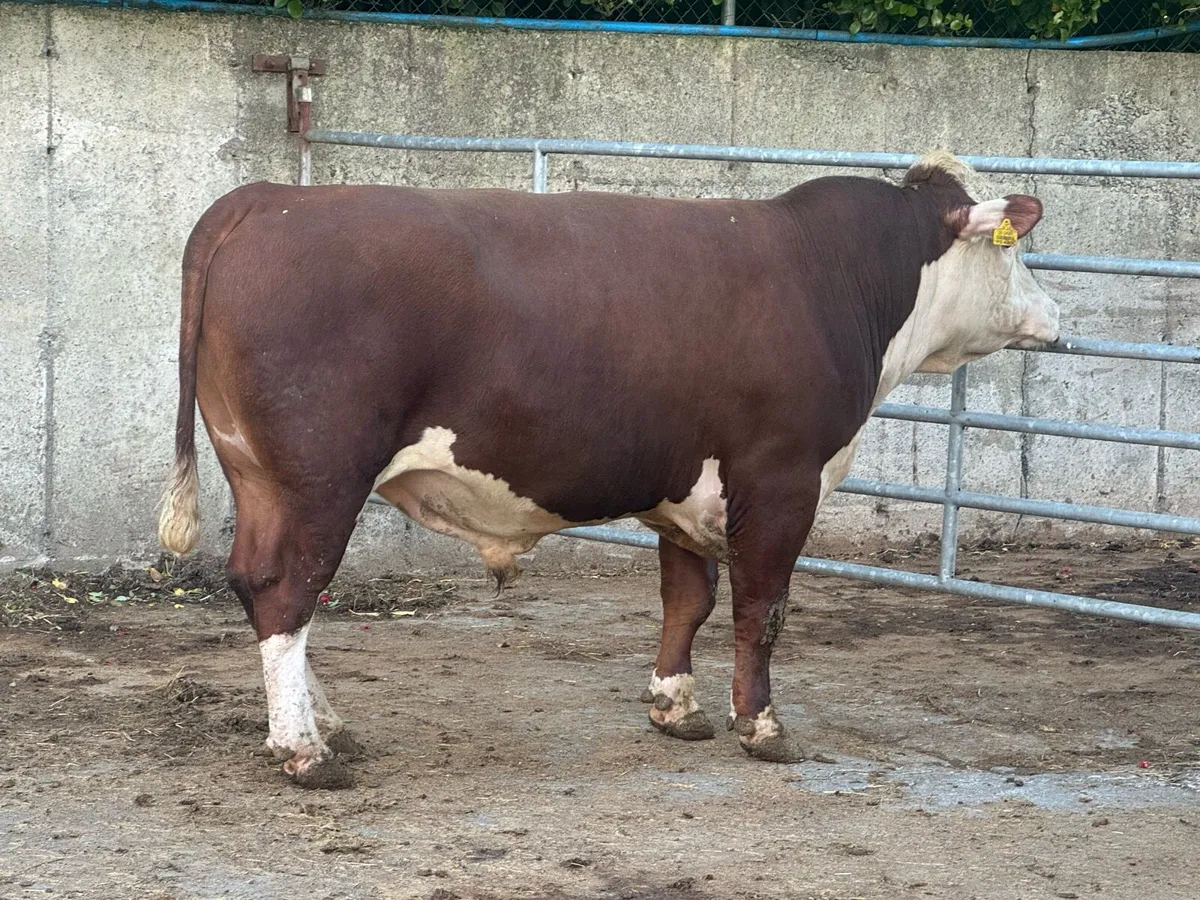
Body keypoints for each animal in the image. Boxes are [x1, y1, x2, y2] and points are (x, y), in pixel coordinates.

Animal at [158, 151, 1059, 789]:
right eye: (1015, 256)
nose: (1056, 314)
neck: (840, 277)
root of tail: (266, 196)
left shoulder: (689, 489)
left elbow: (688, 600)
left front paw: (675, 706)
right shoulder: (780, 478)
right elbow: (761, 608)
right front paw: (762, 727)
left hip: (259, 474)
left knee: (258, 585)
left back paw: (325, 724)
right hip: (318, 478)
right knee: (288, 590)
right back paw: (304, 750)